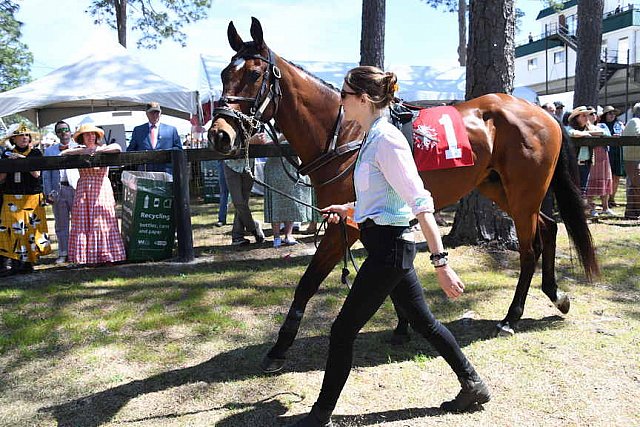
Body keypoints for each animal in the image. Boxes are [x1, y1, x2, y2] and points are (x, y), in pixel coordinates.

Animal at [206, 16, 600, 372]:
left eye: (254, 74)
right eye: (225, 74)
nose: (220, 134)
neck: (345, 134)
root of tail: (542, 113)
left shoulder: (344, 225)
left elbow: (307, 283)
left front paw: (279, 347)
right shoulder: (368, 219)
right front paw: (401, 325)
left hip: (523, 192)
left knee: (530, 248)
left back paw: (511, 317)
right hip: (500, 188)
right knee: (548, 228)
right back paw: (556, 295)